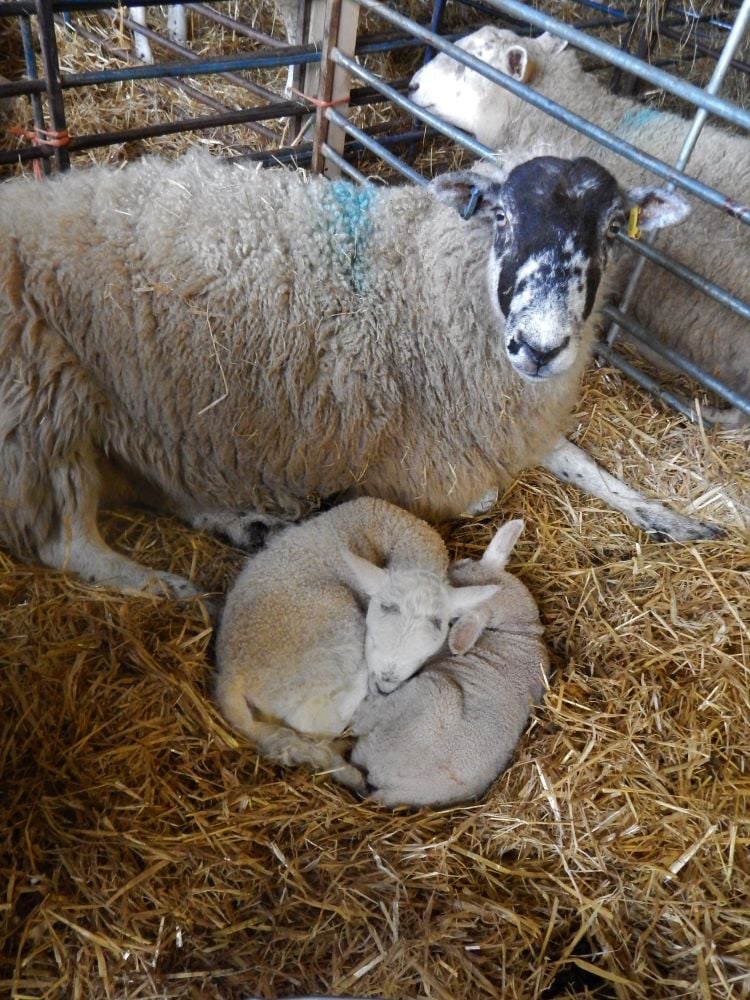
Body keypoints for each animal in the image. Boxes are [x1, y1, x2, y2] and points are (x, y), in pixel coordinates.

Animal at [0, 145, 716, 596]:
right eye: (501, 214)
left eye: (612, 231)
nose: (540, 347)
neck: (422, 287)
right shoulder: (417, 458)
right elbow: (482, 496)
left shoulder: (502, 420)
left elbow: (585, 463)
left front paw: (673, 517)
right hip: (43, 411)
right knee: (68, 544)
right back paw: (170, 586)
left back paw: (238, 522)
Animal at [214, 496, 502, 784]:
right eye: (371, 639)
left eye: (422, 656)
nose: (385, 685)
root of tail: (232, 675)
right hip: (333, 633)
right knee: (317, 722)